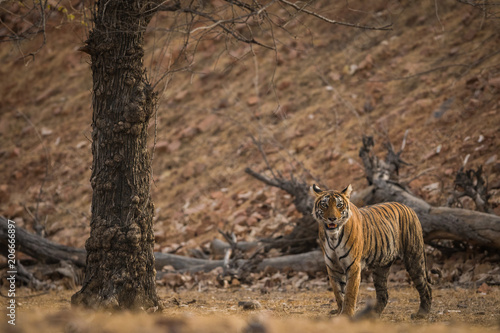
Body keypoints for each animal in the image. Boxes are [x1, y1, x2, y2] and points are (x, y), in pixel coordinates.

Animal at [310, 183, 432, 318]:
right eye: (324, 205)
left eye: (339, 205)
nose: (332, 218)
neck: (333, 237)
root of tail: (408, 207)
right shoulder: (333, 267)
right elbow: (338, 293)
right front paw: (339, 312)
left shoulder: (353, 266)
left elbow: (349, 293)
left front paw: (346, 314)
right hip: (381, 268)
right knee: (383, 295)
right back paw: (371, 315)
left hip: (414, 258)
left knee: (426, 287)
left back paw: (422, 313)